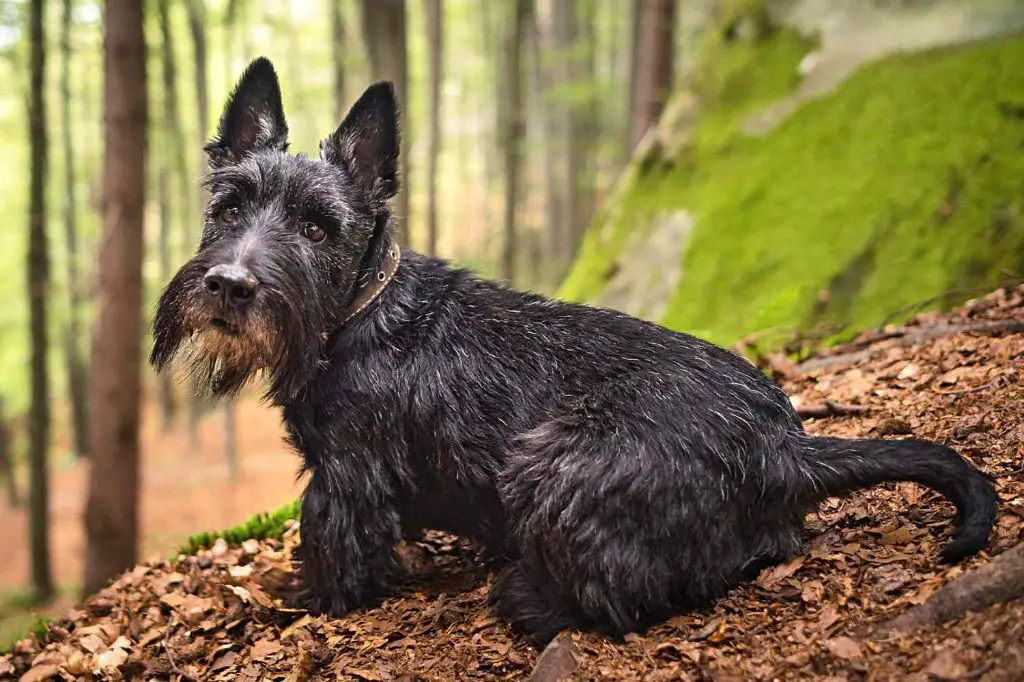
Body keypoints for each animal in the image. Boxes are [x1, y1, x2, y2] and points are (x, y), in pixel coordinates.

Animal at [153, 57, 999, 643]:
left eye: (317, 227)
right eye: (229, 206)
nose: (229, 284)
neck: (358, 309)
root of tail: (787, 449)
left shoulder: (346, 480)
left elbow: (334, 554)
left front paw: (301, 604)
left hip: (553, 462)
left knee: (621, 595)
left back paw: (525, 596)